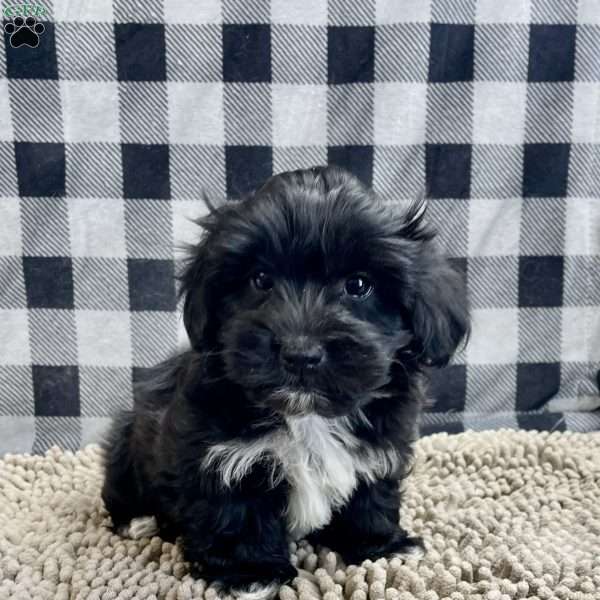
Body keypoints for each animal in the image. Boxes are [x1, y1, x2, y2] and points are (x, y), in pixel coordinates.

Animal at [103, 166, 468, 596]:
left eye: (359, 285)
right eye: (260, 279)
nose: (300, 352)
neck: (307, 415)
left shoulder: (380, 445)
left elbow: (371, 494)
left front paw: (382, 544)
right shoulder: (219, 456)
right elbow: (236, 511)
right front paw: (252, 573)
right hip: (127, 444)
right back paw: (137, 519)